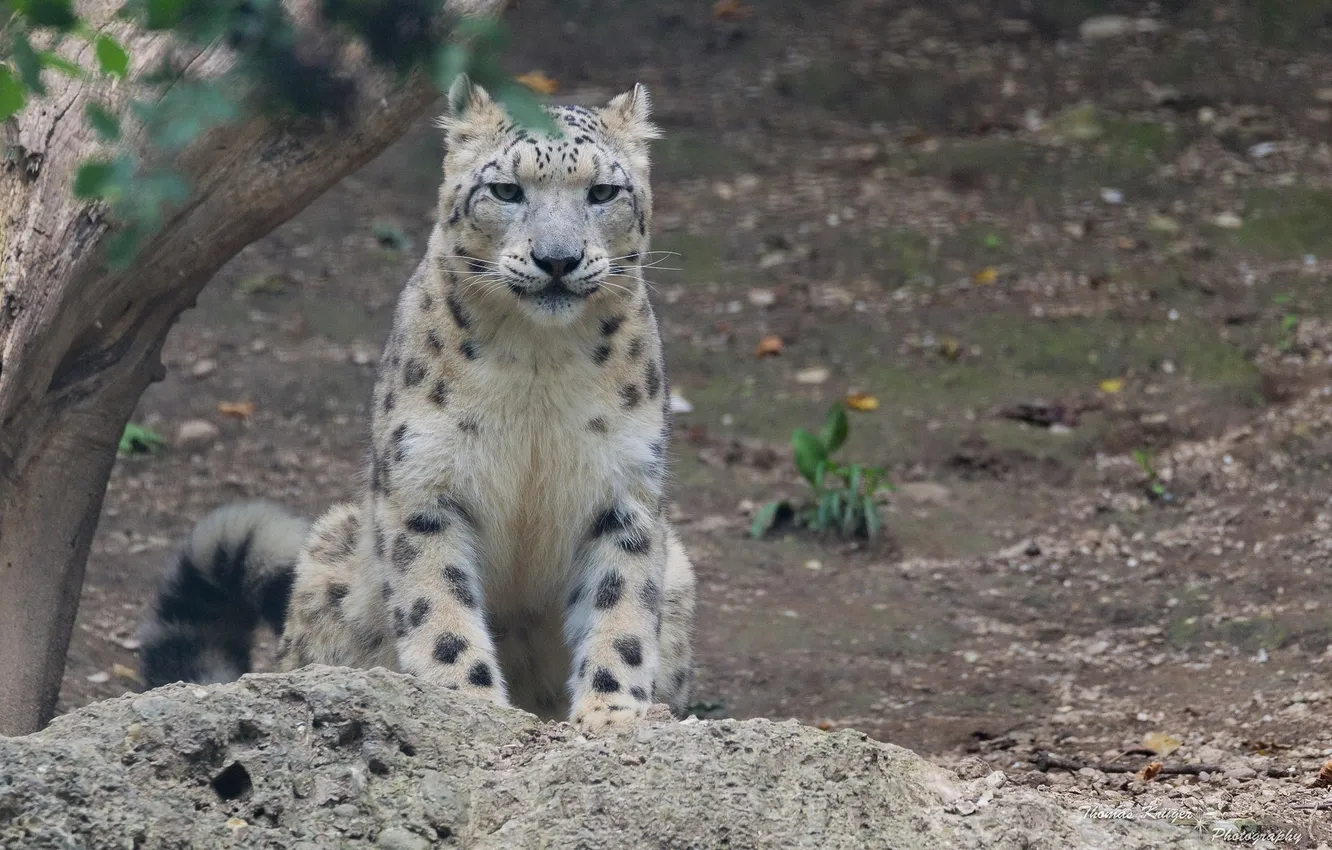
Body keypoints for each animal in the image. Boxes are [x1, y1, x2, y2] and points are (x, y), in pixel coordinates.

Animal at [137, 76, 697, 731]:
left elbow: (622, 606)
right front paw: (465, 703)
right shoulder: (424, 482)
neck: (539, 367)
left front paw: (612, 714)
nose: (557, 259)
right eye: (506, 190)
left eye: (603, 191)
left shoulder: (624, 488)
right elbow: (440, 604)